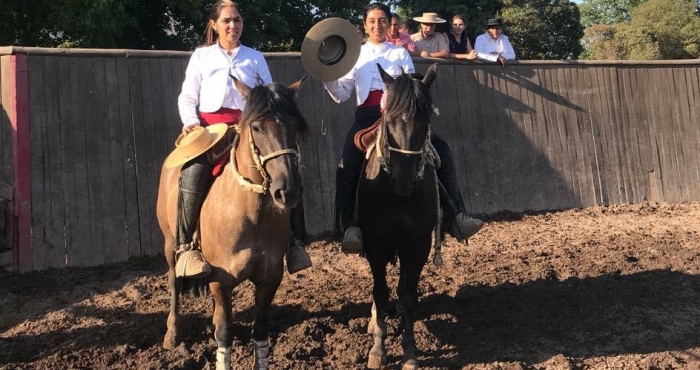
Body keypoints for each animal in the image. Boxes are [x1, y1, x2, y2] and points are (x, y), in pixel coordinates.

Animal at [159, 76, 306, 368]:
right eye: (257, 127)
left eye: (295, 125)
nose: (288, 191)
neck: (251, 213)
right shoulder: (221, 280)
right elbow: (225, 333)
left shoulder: (270, 277)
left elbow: (260, 331)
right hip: (170, 243)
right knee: (172, 282)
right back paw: (172, 334)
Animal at [358, 63, 440, 370]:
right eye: (389, 119)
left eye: (425, 119)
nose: (403, 181)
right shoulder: (374, 244)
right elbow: (380, 292)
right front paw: (378, 350)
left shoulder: (418, 245)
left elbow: (408, 295)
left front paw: (410, 351)